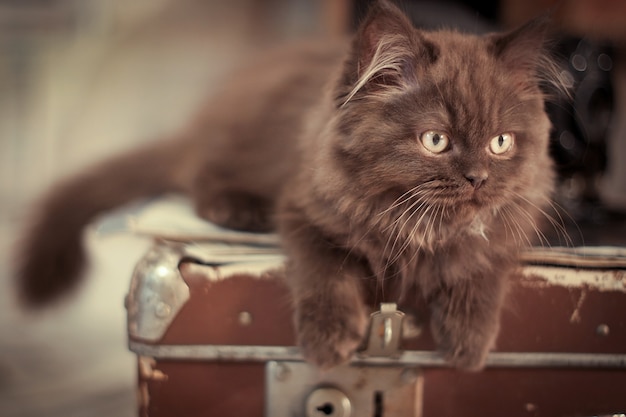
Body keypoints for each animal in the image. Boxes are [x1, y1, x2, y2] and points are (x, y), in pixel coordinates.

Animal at [13, 0, 560, 370]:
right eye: (435, 140)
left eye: (501, 142)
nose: (478, 178)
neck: (418, 229)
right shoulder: (303, 206)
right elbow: (323, 264)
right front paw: (328, 337)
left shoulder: (513, 223)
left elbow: (483, 263)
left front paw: (470, 338)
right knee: (197, 176)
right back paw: (236, 208)